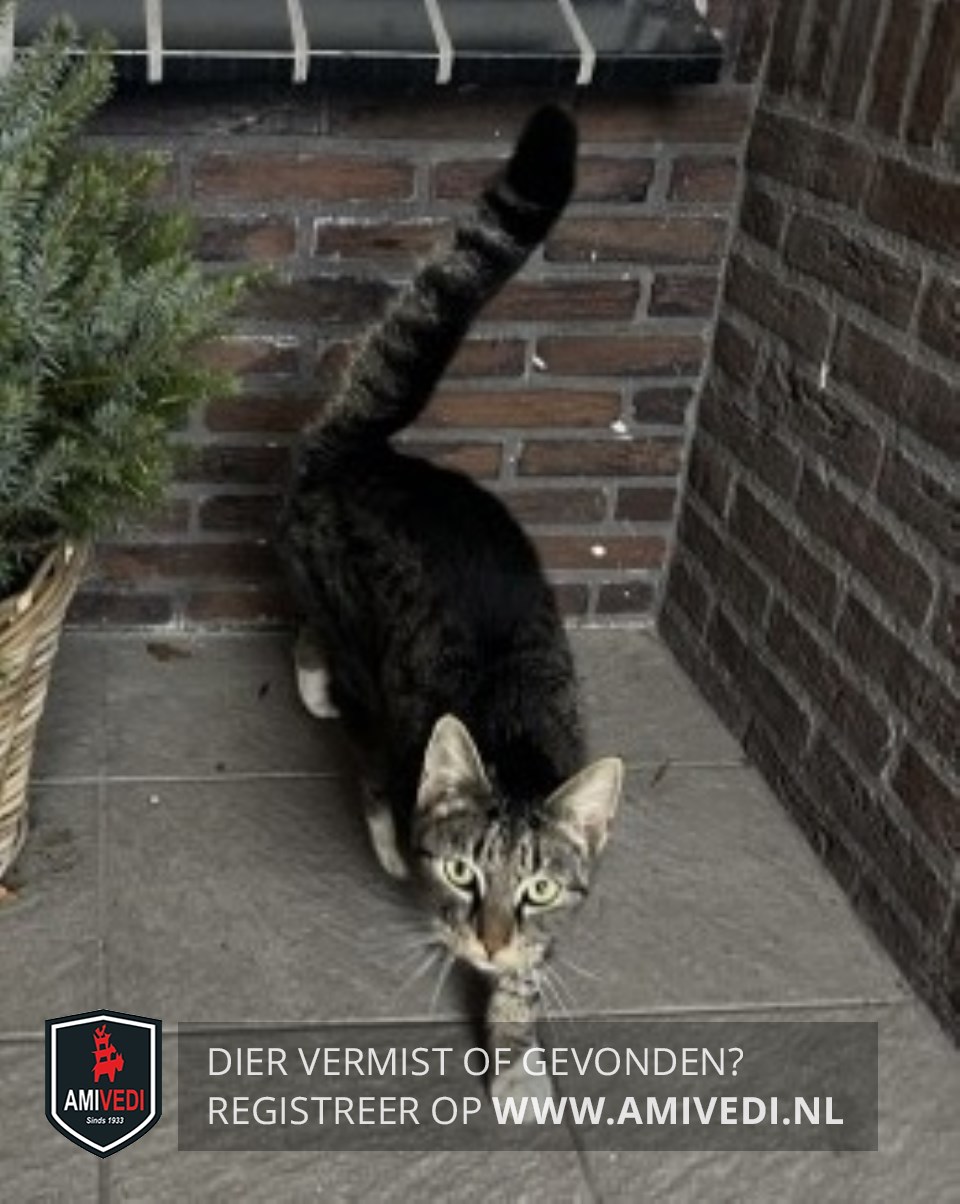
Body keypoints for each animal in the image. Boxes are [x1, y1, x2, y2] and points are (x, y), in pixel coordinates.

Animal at [278, 106, 623, 1099]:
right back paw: (316, 687)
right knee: (324, 644)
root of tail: (370, 453)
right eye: (464, 873)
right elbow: (378, 798)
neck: (511, 738)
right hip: (353, 629)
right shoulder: (394, 736)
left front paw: (515, 1053)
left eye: (538, 890)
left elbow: (530, 981)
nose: (489, 939)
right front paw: (400, 855)